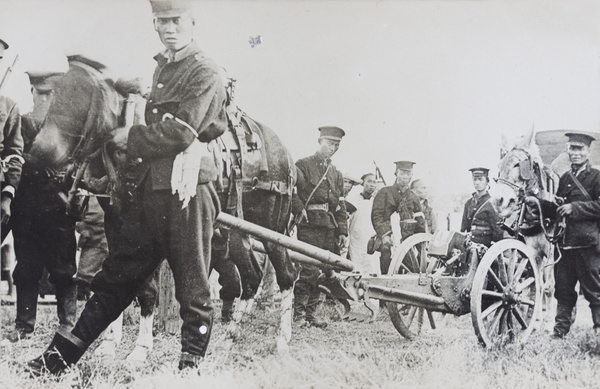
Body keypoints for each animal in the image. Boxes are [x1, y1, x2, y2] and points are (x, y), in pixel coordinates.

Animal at [27, 54, 298, 358]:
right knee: (252, 276)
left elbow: (147, 289)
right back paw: (228, 338)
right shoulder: (115, 222)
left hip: (272, 227)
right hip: (238, 230)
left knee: (287, 275)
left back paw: (282, 340)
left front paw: (141, 348)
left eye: (87, 96)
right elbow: (118, 277)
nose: (39, 151)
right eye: (54, 94)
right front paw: (109, 342)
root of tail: (284, 152)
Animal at [490, 129, 560, 328]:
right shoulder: (533, 252)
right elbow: (536, 284)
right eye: (500, 165)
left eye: (517, 165)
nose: (498, 201)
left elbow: (549, 286)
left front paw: (549, 323)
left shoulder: (550, 250)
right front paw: (536, 321)